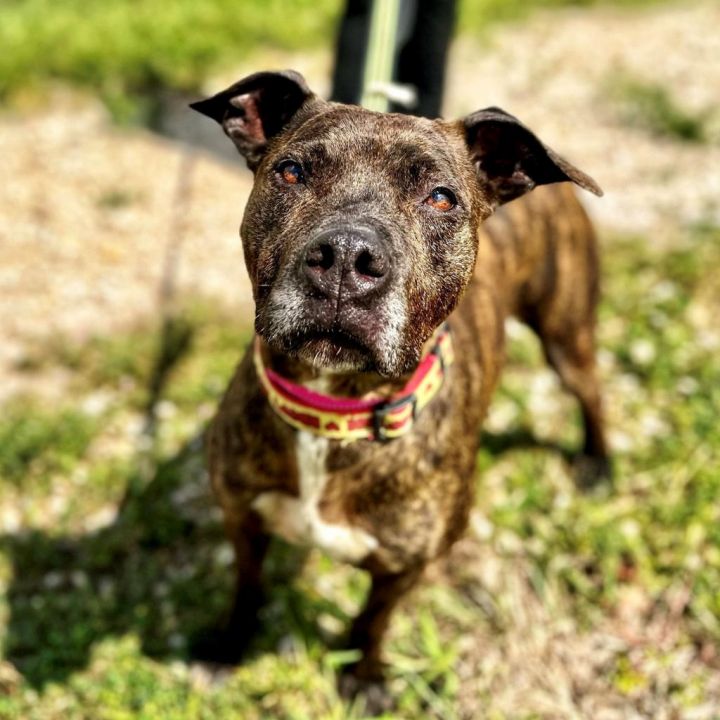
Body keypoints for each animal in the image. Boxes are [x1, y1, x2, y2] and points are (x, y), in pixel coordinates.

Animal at [190, 71, 608, 708]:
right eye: (292, 171)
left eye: (441, 197)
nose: (346, 258)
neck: (334, 409)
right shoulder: (242, 518)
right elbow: (247, 586)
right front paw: (229, 647)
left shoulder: (407, 566)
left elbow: (373, 621)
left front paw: (364, 679)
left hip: (565, 333)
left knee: (593, 390)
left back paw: (599, 463)